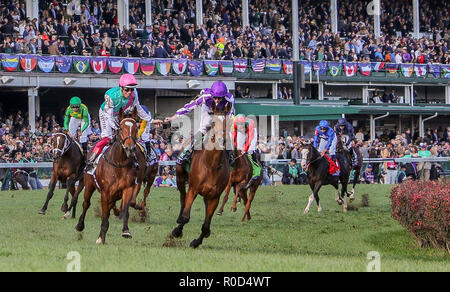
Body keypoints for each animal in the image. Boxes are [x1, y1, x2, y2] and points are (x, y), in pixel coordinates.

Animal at [74, 108, 144, 244]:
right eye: (121, 128)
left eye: (136, 128)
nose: (130, 148)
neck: (118, 163)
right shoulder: (105, 192)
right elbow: (104, 214)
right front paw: (101, 237)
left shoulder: (128, 188)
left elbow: (125, 210)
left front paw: (126, 231)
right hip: (89, 185)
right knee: (86, 204)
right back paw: (80, 225)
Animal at [171, 104, 230, 248]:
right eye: (213, 122)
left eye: (229, 122)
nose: (222, 139)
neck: (211, 165)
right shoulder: (193, 189)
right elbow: (186, 217)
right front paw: (177, 231)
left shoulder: (215, 196)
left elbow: (206, 226)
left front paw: (196, 242)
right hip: (180, 177)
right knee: (182, 197)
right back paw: (179, 218)